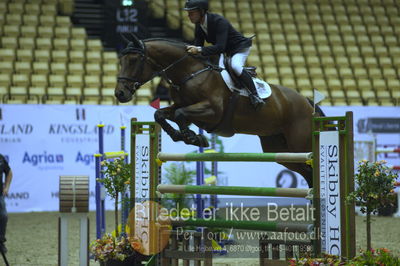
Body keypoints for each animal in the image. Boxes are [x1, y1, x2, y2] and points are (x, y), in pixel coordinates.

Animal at [114, 37, 324, 187]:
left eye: (133, 60)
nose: (120, 94)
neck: (189, 72)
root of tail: (307, 102)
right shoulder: (181, 107)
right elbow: (161, 115)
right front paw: (182, 136)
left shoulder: (213, 111)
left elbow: (181, 115)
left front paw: (194, 138)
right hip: (278, 148)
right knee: (306, 173)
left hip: (299, 144)